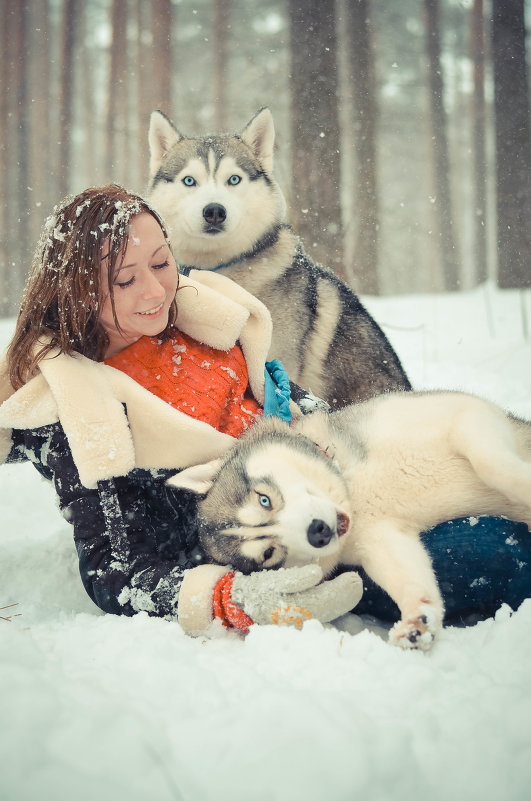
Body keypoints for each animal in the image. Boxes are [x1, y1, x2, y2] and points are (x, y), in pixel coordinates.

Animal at [169, 394, 531, 648]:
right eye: (269, 554)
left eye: (264, 499)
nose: (318, 532)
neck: (355, 491)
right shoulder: (382, 539)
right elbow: (410, 581)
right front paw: (419, 619)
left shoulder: (468, 416)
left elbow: (493, 466)